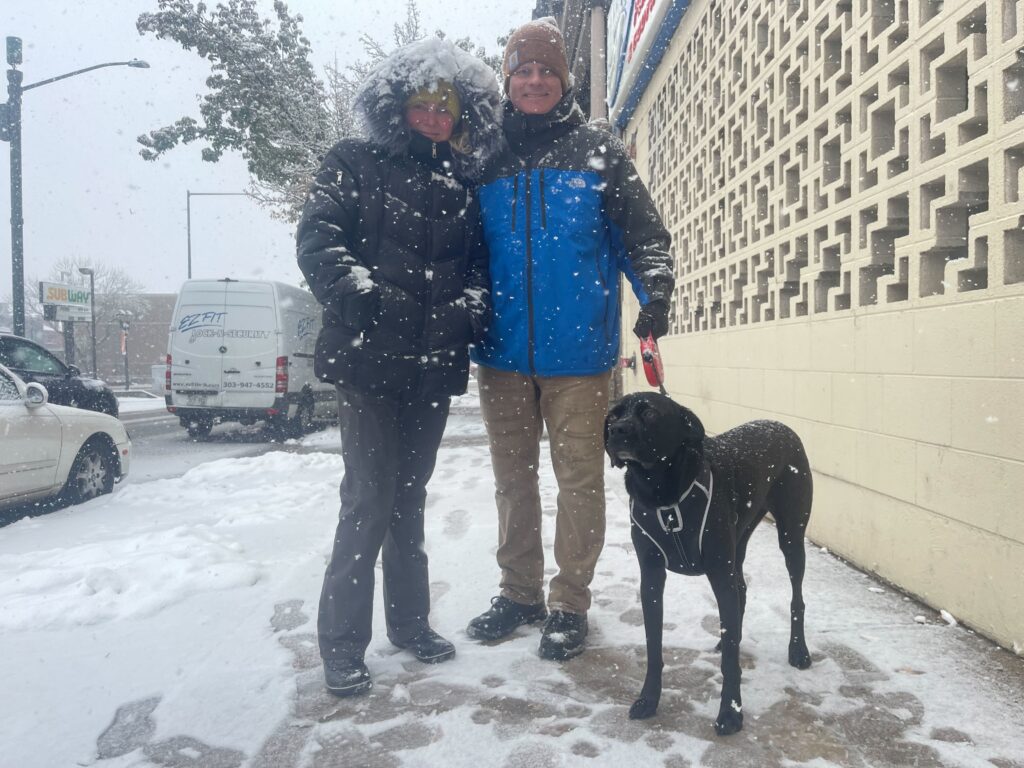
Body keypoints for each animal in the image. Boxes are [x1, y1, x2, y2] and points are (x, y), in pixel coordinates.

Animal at [602, 393, 811, 737]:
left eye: (650, 413)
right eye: (614, 415)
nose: (617, 431)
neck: (662, 492)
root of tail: (781, 425)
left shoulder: (718, 572)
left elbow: (730, 661)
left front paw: (730, 714)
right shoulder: (651, 576)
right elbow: (653, 645)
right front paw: (648, 700)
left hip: (791, 536)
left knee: (797, 598)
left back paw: (798, 651)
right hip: (740, 540)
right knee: (742, 590)